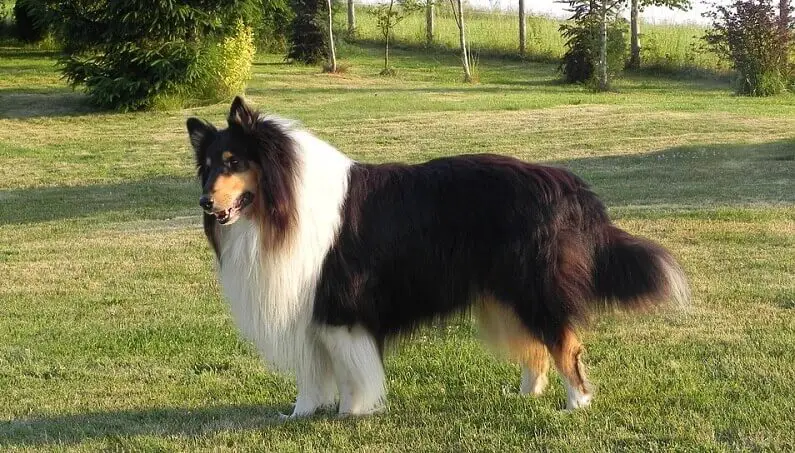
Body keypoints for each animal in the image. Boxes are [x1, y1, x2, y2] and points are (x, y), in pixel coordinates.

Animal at [187, 96, 692, 416]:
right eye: (207, 166)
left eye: (234, 162)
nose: (206, 204)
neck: (281, 201)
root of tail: (570, 186)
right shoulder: (308, 312)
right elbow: (312, 375)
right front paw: (301, 414)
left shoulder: (341, 308)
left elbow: (352, 370)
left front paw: (353, 412)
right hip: (503, 295)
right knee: (536, 350)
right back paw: (524, 397)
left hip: (533, 288)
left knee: (565, 344)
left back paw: (577, 404)